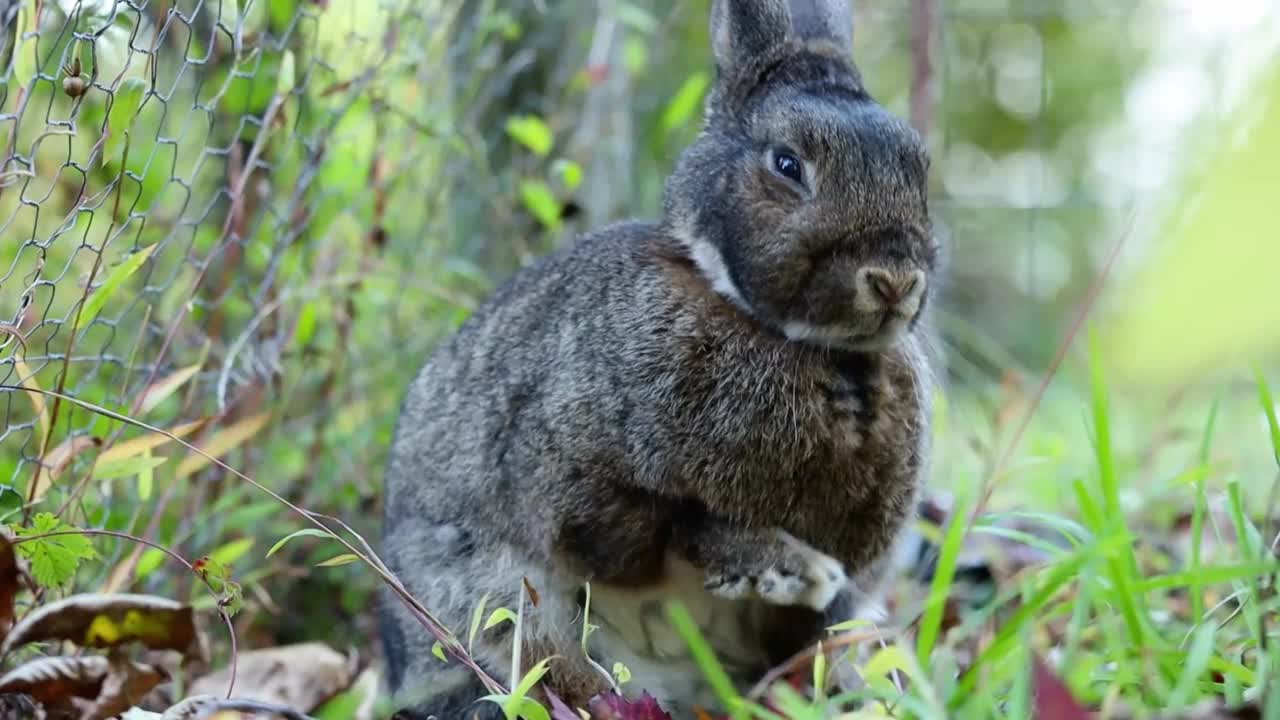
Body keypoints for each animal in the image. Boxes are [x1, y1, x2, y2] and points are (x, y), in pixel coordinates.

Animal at [378, 0, 942, 712]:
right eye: (787, 165)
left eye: (919, 169)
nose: (894, 279)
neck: (814, 348)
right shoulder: (572, 480)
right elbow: (675, 529)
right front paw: (793, 568)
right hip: (497, 597)